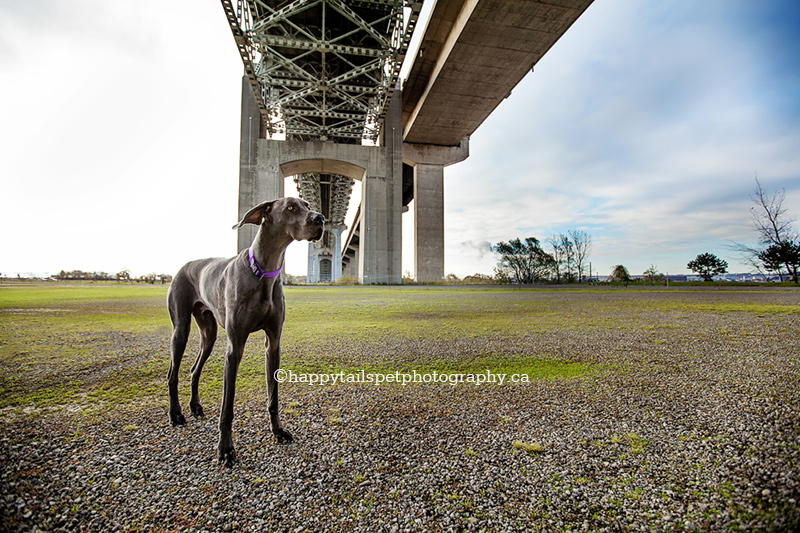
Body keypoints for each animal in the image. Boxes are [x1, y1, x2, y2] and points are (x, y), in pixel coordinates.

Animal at [167, 196, 324, 466]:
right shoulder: (234, 347)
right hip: (181, 328)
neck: (263, 270)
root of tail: (183, 266)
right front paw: (225, 449)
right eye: (291, 207)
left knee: (195, 369)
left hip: (208, 333)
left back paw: (195, 406)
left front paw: (277, 431)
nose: (321, 218)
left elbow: (273, 396)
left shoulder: (273, 343)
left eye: (306, 204)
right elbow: (227, 407)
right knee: (173, 372)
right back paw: (176, 414)